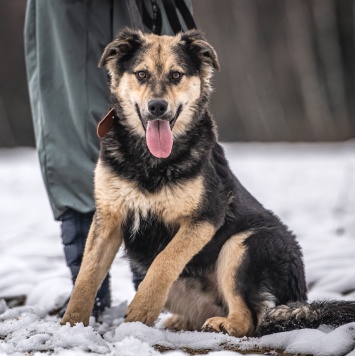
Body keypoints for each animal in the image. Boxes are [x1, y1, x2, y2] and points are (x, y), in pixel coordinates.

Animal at [61, 28, 355, 336]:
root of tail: (300, 297)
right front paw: (71, 324)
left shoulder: (206, 217)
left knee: (249, 319)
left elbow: (165, 261)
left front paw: (140, 313)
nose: (157, 107)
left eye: (176, 75)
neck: (150, 162)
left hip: (242, 245)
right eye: (141, 74)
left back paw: (223, 324)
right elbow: (86, 275)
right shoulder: (109, 217)